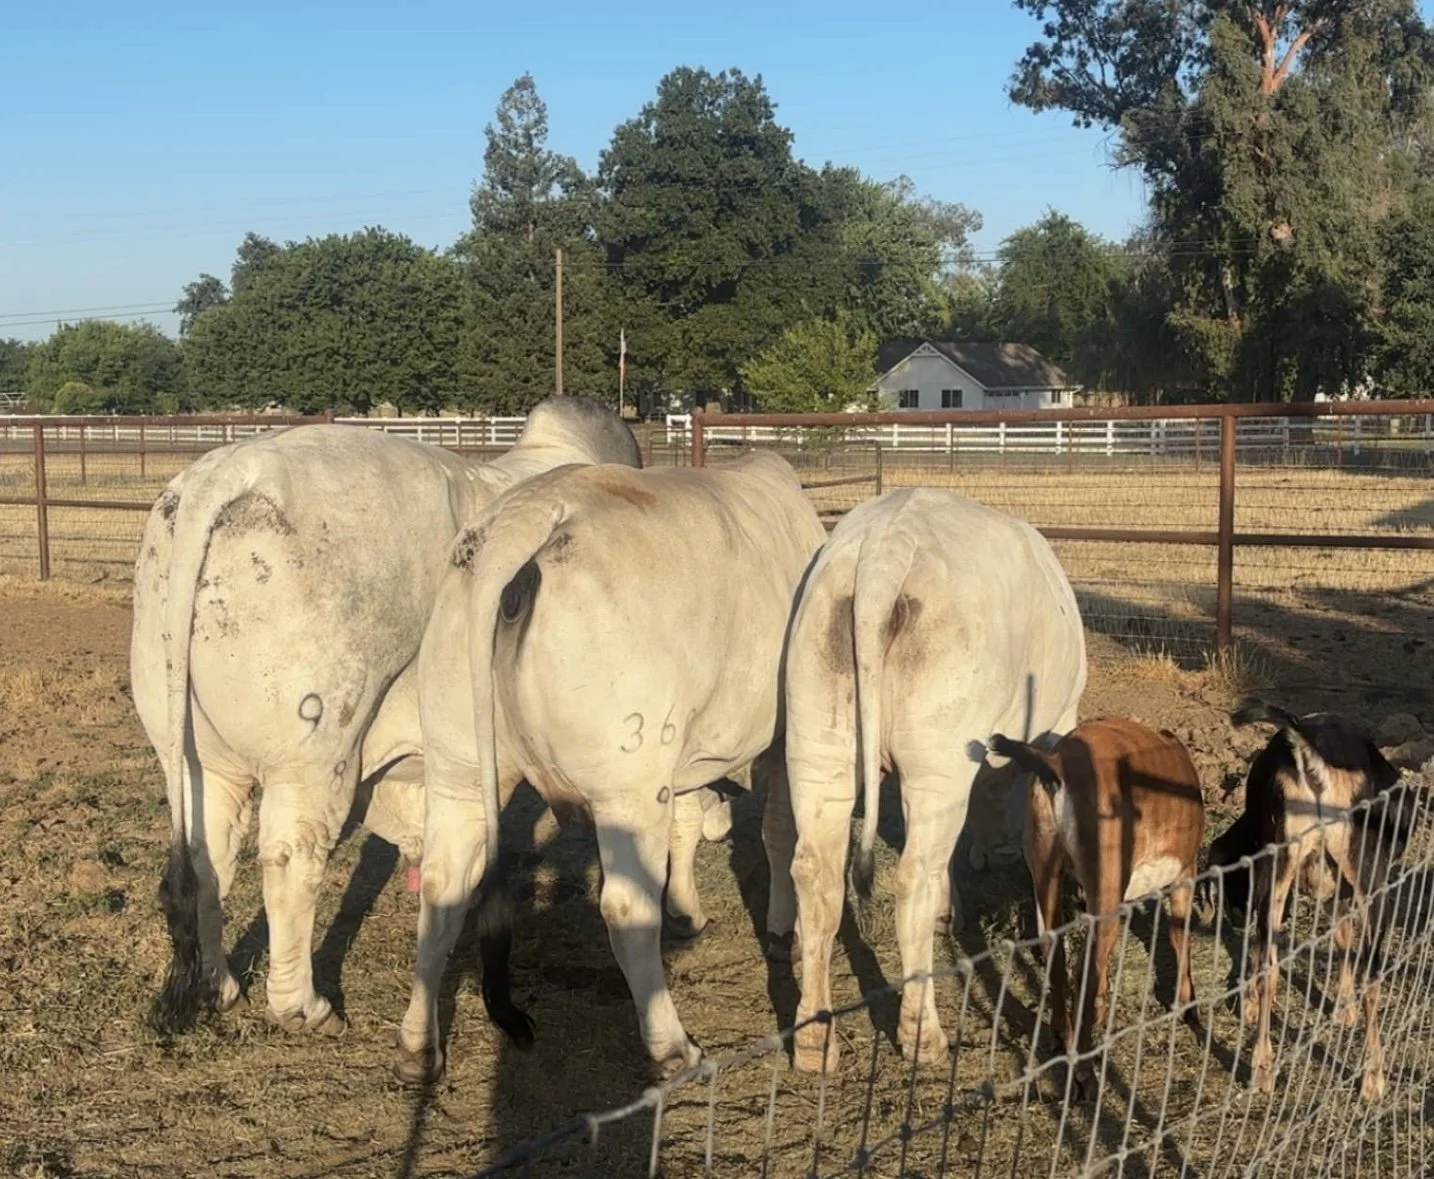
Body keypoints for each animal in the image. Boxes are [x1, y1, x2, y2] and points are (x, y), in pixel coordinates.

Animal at [131, 396, 653, 1040]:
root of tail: (228, 472)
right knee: (291, 858)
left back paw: (220, 986)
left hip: (194, 754)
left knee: (211, 856)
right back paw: (304, 1007)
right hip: (316, 752)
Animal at [391, 452, 828, 1083]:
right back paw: (672, 1049)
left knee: (442, 887)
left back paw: (417, 1049)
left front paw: (687, 912)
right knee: (624, 908)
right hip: (629, 784)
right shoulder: (785, 735)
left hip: (459, 767)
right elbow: (778, 833)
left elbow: (687, 828)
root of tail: (525, 512)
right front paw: (781, 930)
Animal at [777, 487, 1087, 1074]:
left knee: (816, 872)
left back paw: (814, 1038)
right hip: (937, 761)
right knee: (913, 877)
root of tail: (883, 550)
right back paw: (923, 1035)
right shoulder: (1059, 726)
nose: (996, 855)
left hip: (818, 741)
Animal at [989, 719, 1204, 1099]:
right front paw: (1188, 1010)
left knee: (1055, 950)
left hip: (1047, 873)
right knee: (1082, 969)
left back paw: (1062, 1037)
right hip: (1105, 893)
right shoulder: (1184, 874)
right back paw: (1085, 1075)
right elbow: (1180, 937)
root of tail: (1057, 762)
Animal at [1208, 698, 1409, 1101]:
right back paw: (1373, 1077)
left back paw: (1262, 1068)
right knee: (1372, 978)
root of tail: (1307, 745)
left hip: (1281, 863)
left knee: (1270, 967)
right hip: (1367, 873)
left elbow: (1339, 937)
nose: (1233, 917)